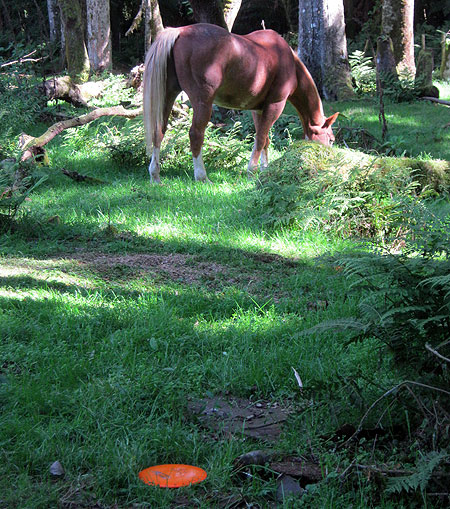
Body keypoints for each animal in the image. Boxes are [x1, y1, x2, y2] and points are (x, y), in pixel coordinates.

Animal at [143, 23, 338, 184]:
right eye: (331, 139)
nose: (329, 161)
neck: (288, 60)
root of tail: (181, 31)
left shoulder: (258, 110)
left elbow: (264, 138)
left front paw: (264, 169)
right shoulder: (275, 105)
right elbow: (261, 138)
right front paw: (252, 171)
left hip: (168, 96)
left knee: (158, 131)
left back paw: (155, 176)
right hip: (203, 102)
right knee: (196, 134)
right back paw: (202, 176)